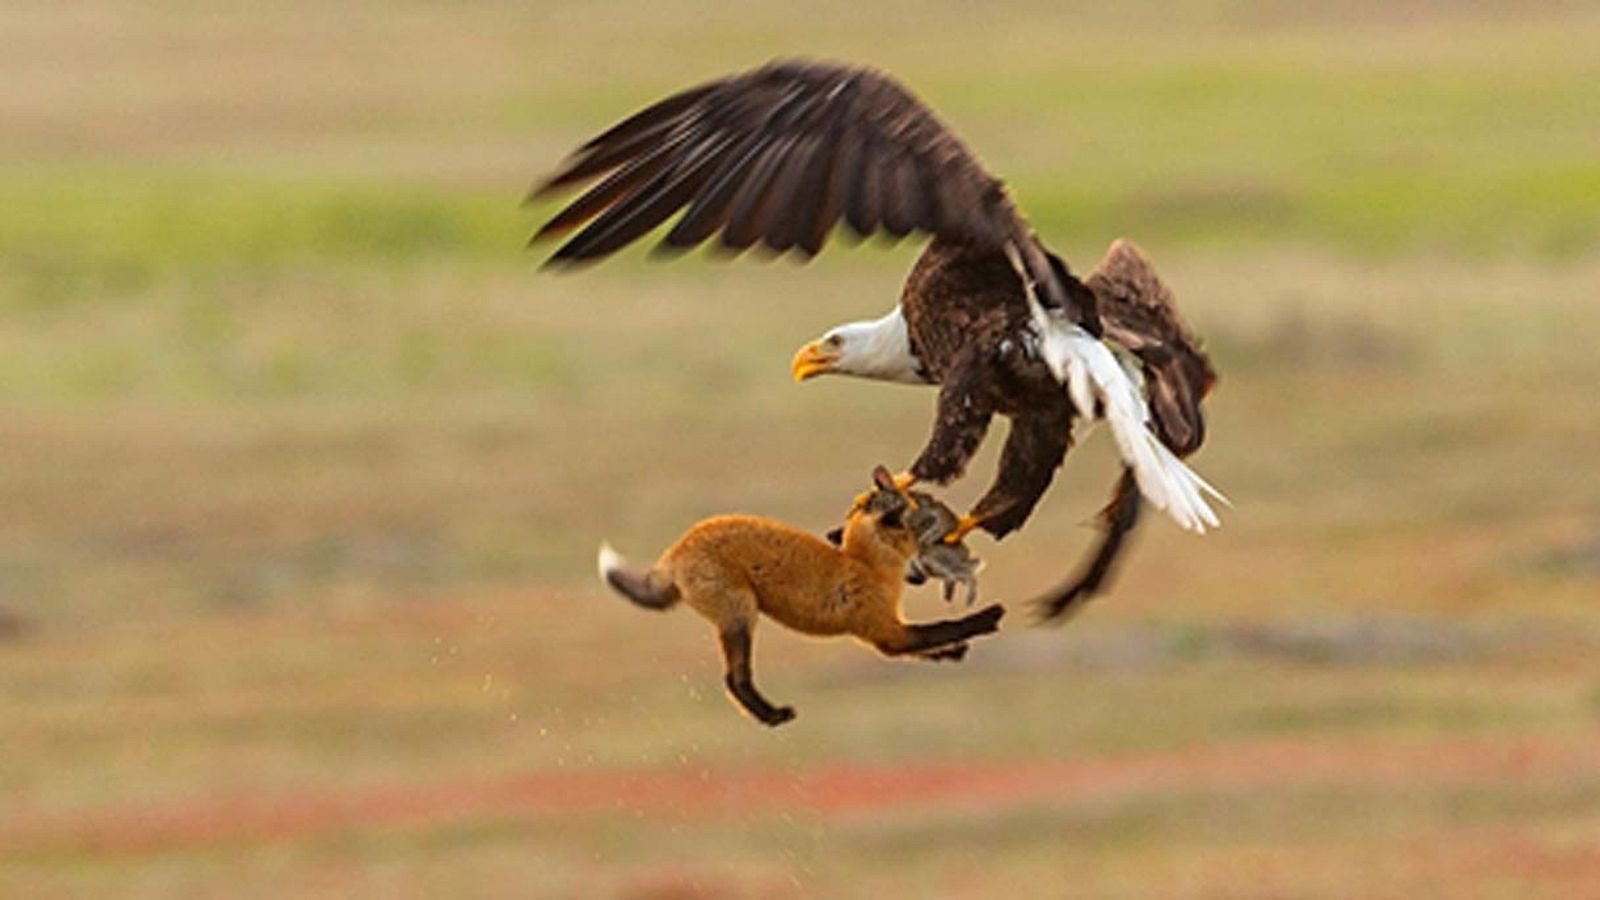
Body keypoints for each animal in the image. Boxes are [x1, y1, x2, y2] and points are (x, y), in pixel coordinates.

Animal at [597, 466, 1007, 726]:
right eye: (922, 519)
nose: (922, 574)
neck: (864, 564)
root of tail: (675, 550)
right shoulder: (884, 632)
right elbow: (944, 627)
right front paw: (987, 618)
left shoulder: (890, 631)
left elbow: (929, 645)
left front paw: (953, 654)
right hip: (740, 615)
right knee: (734, 680)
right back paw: (772, 717)